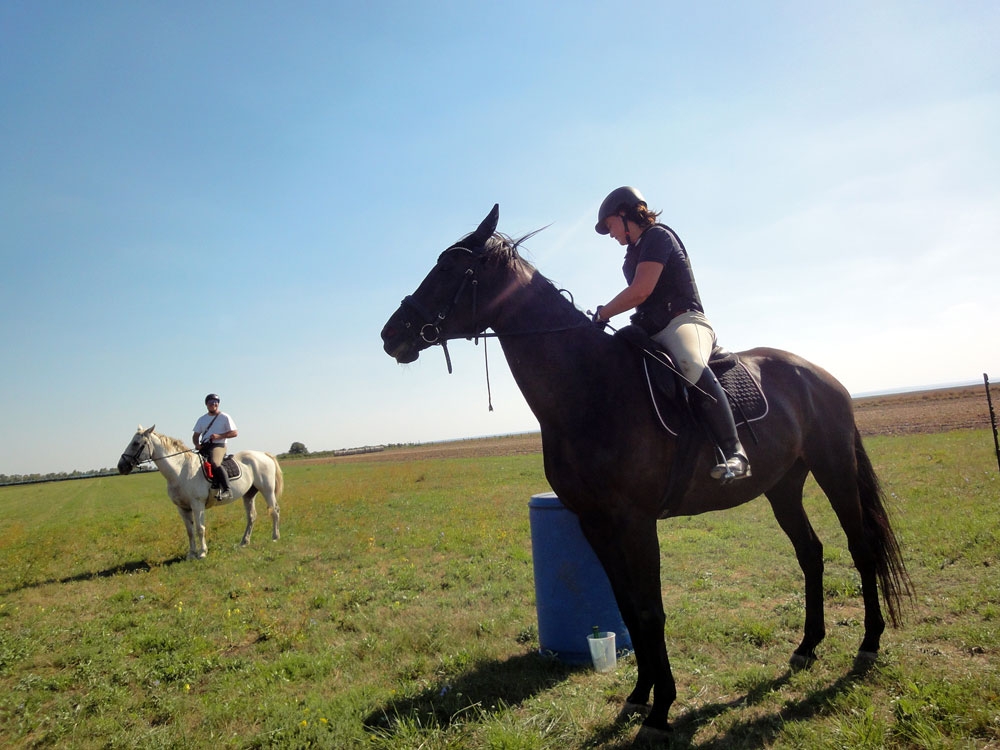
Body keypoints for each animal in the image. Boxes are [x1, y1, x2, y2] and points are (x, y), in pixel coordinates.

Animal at [117, 426, 284, 560]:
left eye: (136, 443)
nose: (121, 466)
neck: (180, 470)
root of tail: (263, 454)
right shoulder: (182, 508)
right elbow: (190, 531)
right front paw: (191, 554)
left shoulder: (197, 505)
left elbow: (200, 528)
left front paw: (202, 552)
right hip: (249, 494)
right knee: (251, 516)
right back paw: (244, 542)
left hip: (267, 490)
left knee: (275, 511)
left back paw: (275, 537)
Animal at [378, 206, 912, 740]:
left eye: (451, 266)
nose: (390, 334)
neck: (590, 387)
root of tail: (821, 376)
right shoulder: (594, 523)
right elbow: (628, 607)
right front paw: (639, 696)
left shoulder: (635, 522)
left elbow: (651, 611)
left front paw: (660, 711)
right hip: (783, 487)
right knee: (810, 553)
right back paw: (806, 646)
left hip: (834, 470)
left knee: (861, 547)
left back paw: (869, 643)